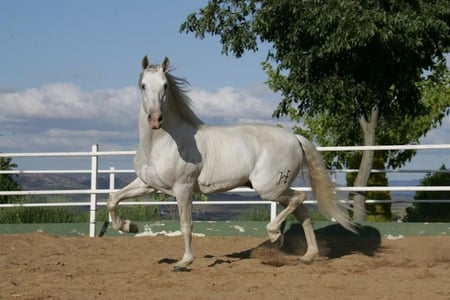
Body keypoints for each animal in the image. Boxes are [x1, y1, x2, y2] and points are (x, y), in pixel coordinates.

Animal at [107, 56, 354, 272]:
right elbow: (113, 199)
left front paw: (183, 262)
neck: (162, 143)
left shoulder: (183, 188)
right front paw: (129, 226)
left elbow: (186, 225)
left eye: (165, 86)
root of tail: (296, 138)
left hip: (270, 189)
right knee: (303, 212)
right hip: (275, 188)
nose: (155, 119)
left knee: (299, 199)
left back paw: (276, 235)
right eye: (143, 86)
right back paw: (307, 255)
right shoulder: (148, 184)